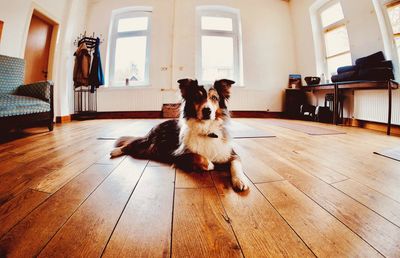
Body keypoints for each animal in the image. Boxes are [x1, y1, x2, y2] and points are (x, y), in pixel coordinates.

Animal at [110, 78, 247, 191]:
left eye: (215, 98)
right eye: (197, 97)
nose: (207, 111)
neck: (206, 130)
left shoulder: (231, 153)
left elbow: (236, 164)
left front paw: (240, 180)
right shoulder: (178, 155)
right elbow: (198, 157)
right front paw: (210, 164)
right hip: (149, 142)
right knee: (130, 144)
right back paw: (115, 151)